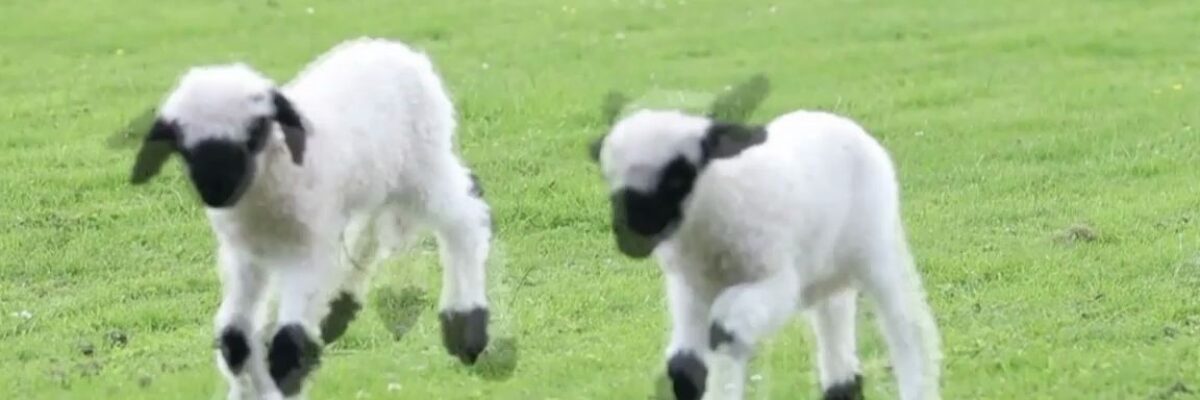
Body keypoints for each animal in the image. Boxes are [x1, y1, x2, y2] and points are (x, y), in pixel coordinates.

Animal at [127, 38, 493, 399]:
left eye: (256, 128)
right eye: (180, 141)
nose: (216, 190)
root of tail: (396, 48)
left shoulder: (307, 251)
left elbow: (288, 343)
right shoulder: (245, 255)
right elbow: (235, 340)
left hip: (423, 167)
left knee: (464, 220)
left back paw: (467, 328)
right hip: (377, 180)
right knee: (373, 227)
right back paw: (338, 309)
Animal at [587, 76, 941, 400]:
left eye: (680, 174)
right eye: (609, 177)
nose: (629, 237)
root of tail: (838, 120)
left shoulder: (775, 280)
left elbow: (724, 332)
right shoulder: (690, 288)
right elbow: (684, 365)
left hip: (874, 246)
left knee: (908, 328)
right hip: (823, 263)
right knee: (834, 315)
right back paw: (842, 385)